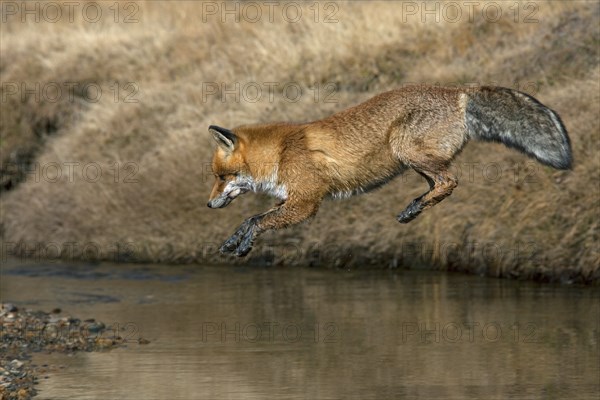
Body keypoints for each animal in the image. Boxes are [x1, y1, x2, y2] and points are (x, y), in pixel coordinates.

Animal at [206, 86, 572, 258]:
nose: (208, 205)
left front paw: (244, 245)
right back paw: (414, 208)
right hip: (413, 160)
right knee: (440, 183)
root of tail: (457, 91)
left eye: (221, 177)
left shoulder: (306, 203)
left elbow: (259, 221)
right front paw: (233, 242)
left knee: (451, 181)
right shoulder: (289, 199)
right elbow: (250, 219)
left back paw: (414, 208)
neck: (281, 152)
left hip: (404, 148)